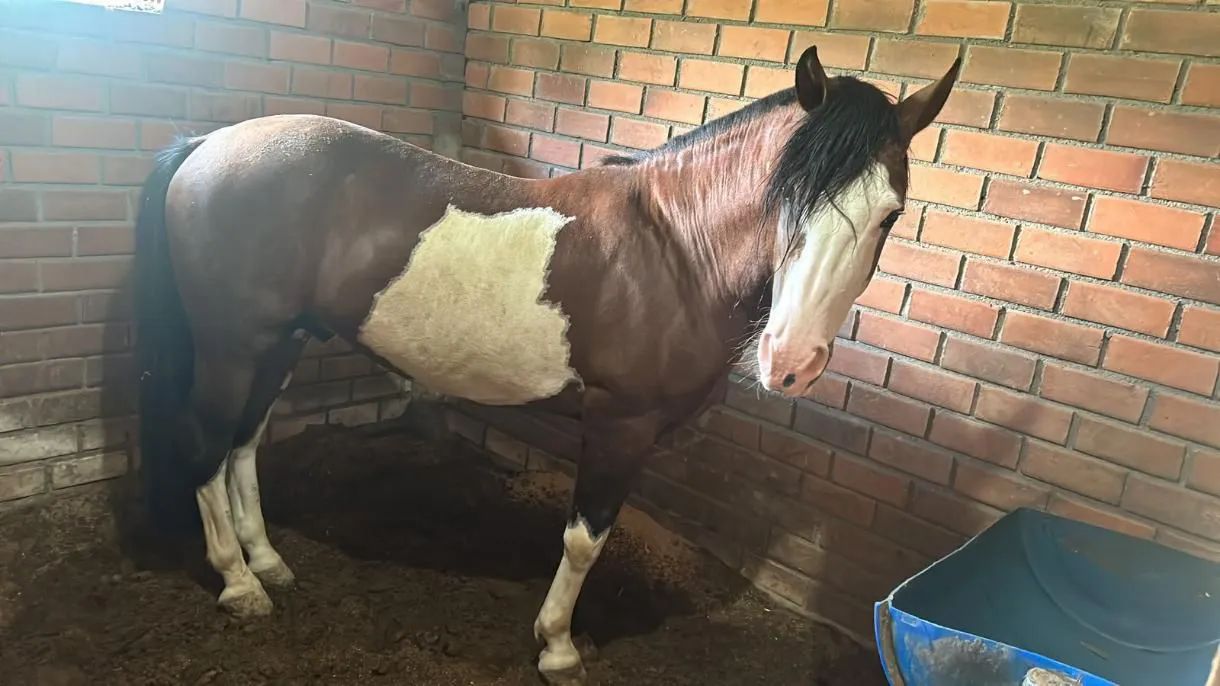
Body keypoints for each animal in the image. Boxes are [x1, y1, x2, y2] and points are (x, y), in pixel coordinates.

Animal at [132, 46, 960, 684]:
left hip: (280, 340)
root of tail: (206, 146)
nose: (790, 362)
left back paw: (267, 559)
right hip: (233, 344)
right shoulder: (621, 425)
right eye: (784, 200)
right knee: (206, 443)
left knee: (243, 442)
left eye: (889, 214)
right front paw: (558, 646)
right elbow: (586, 538)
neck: (675, 249)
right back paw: (238, 583)